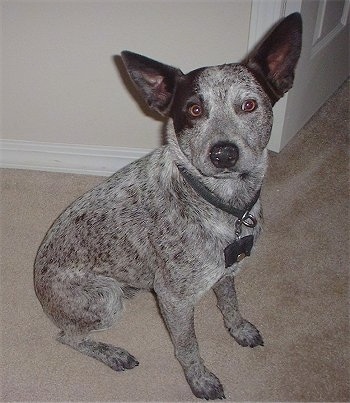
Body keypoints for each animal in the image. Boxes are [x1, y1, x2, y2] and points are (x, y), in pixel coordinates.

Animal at [36, 13, 304, 400]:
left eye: (249, 105)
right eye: (194, 109)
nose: (224, 153)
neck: (222, 203)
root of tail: (38, 286)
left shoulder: (227, 271)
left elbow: (230, 304)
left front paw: (238, 329)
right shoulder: (174, 299)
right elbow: (188, 346)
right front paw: (200, 380)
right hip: (106, 298)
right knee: (68, 336)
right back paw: (113, 353)